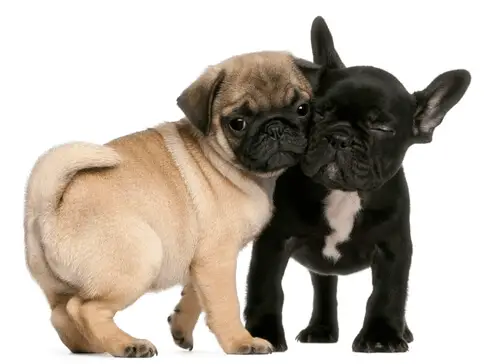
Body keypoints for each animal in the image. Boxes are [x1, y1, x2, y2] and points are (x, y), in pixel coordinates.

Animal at [23, 49, 320, 356]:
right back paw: (127, 344)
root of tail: (48, 208)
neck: (221, 159)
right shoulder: (218, 259)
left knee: (61, 315)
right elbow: (225, 304)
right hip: (140, 261)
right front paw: (240, 342)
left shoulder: (202, 263)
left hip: (58, 287)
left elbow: (196, 296)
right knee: (85, 309)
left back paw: (92, 345)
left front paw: (181, 328)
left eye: (302, 109)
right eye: (238, 123)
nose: (276, 127)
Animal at [244, 16, 470, 352]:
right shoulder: (274, 241)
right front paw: (263, 334)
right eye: (316, 111)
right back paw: (321, 329)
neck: (344, 194)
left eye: (382, 127)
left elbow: (388, 293)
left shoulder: (393, 249)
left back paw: (402, 331)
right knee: (324, 287)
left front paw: (382, 336)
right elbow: (266, 288)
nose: (339, 136)